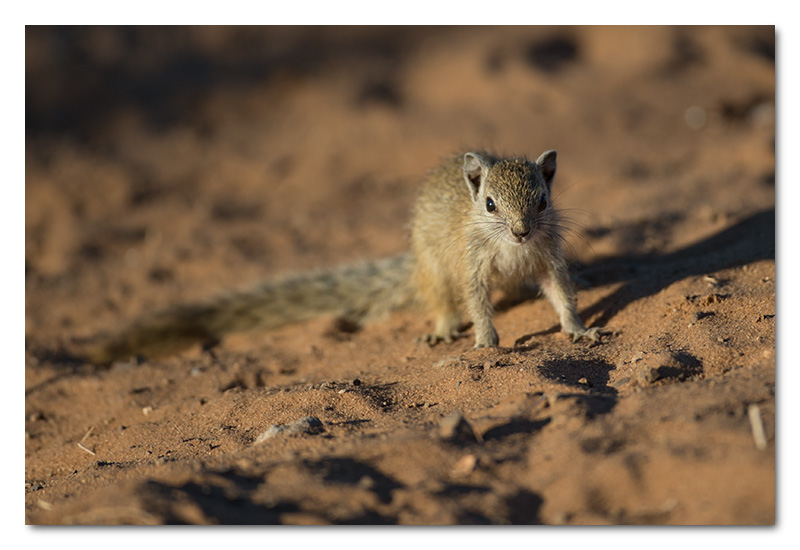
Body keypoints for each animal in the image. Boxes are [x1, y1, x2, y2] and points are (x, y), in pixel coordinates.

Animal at [86, 152, 600, 366]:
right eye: (490, 204)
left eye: (542, 201)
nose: (520, 231)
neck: (513, 250)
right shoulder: (469, 267)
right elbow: (476, 303)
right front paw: (486, 342)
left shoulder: (549, 258)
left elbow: (563, 295)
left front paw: (577, 330)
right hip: (435, 273)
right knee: (441, 302)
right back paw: (442, 330)